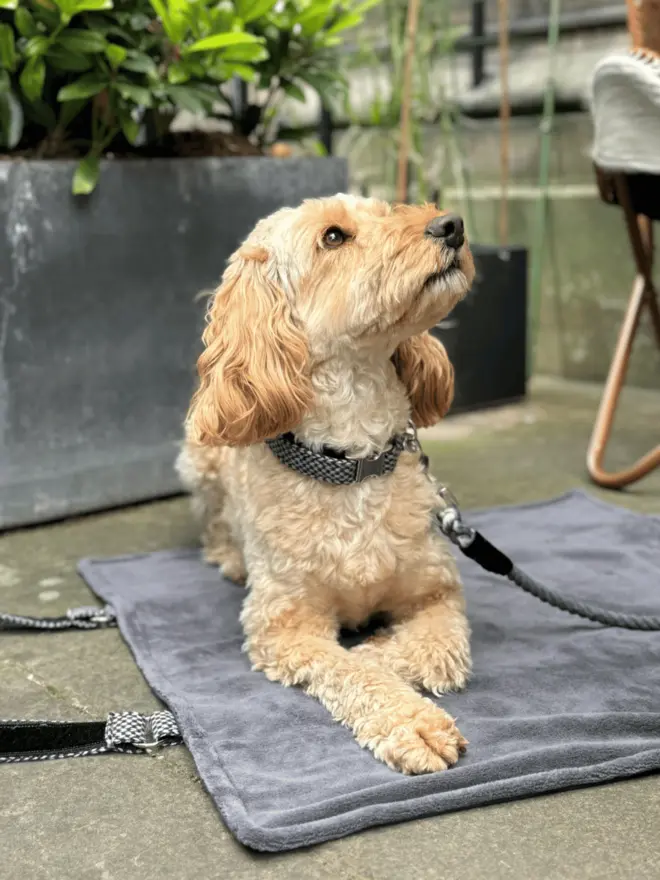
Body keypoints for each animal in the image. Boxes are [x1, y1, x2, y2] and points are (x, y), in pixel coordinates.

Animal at [175, 196, 474, 772]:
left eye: (385, 209)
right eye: (333, 237)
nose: (451, 225)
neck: (350, 462)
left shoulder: (437, 593)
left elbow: (434, 649)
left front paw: (379, 648)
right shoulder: (284, 625)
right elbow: (350, 669)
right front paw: (411, 722)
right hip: (198, 461)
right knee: (213, 521)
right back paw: (229, 555)